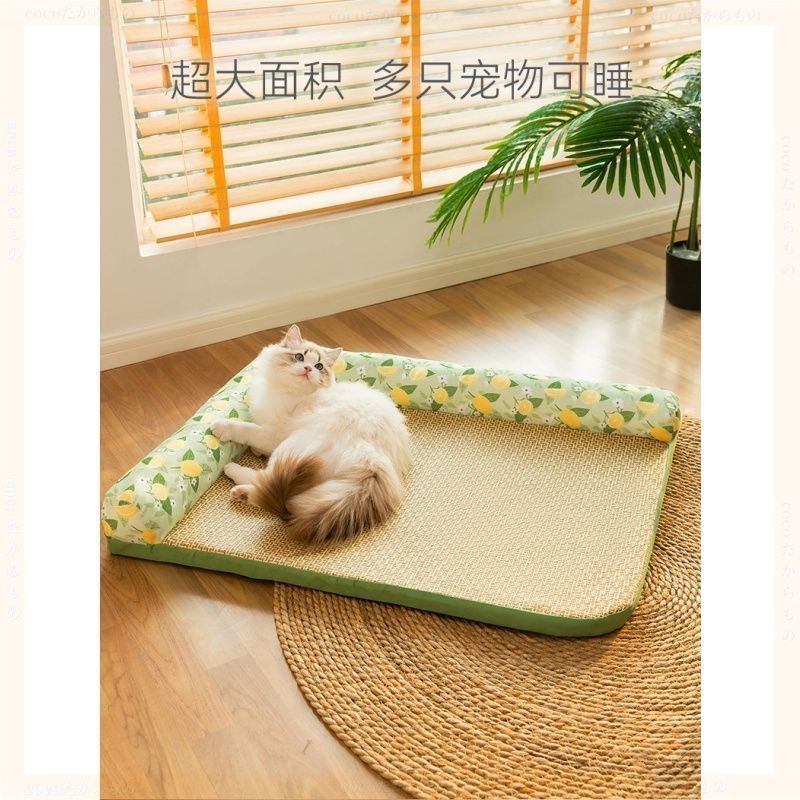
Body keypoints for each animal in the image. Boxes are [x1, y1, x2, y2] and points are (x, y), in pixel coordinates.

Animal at [212, 325, 412, 544]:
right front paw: (256, 451)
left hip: (291, 448)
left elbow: (245, 429)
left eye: (318, 366)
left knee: (266, 479)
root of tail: (372, 458)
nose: (308, 369)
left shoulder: (273, 433)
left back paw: (234, 478)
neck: (289, 393)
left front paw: (220, 426)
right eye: (299, 357)